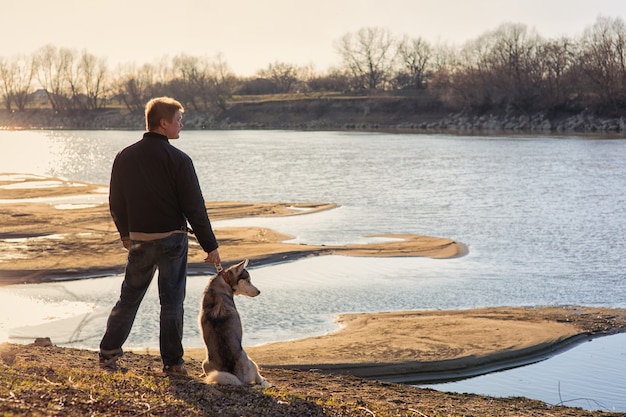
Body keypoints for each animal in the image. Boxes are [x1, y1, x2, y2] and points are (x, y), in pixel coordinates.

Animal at [197, 256, 268, 386]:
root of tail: (237, 376)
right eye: (248, 280)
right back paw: (264, 381)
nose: (259, 291)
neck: (224, 281)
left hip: (205, 364)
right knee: (258, 377)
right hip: (251, 361)